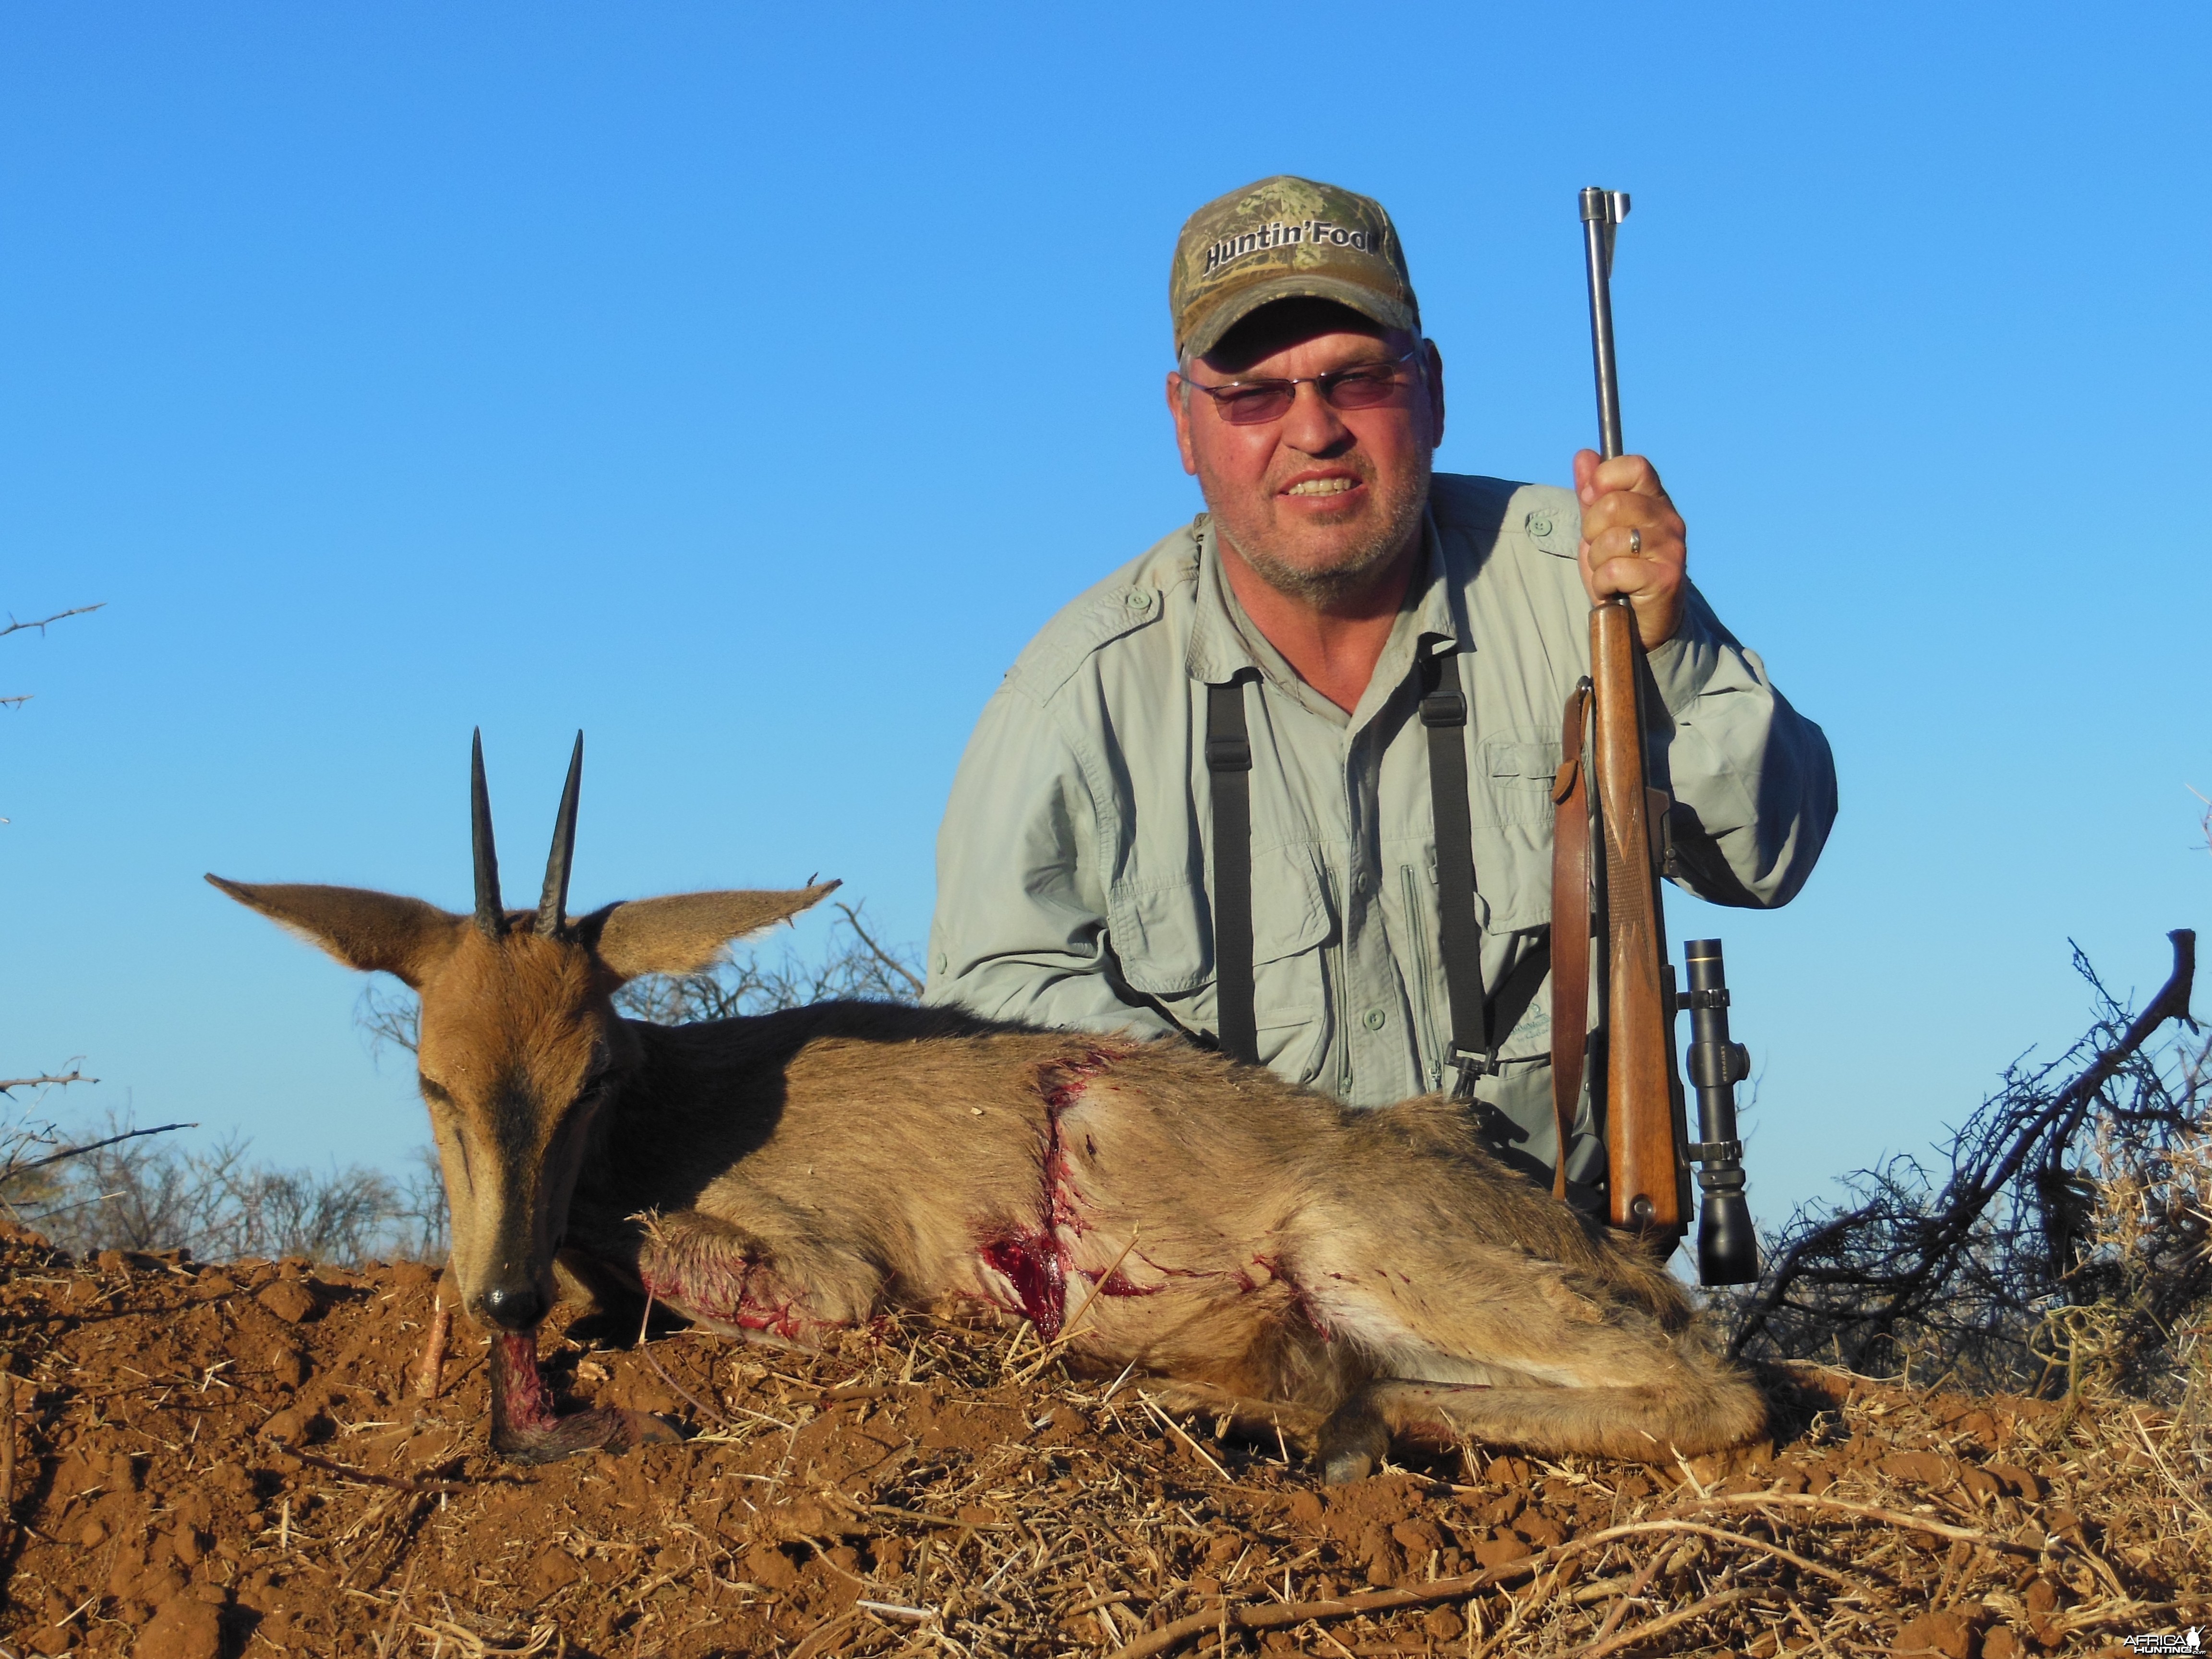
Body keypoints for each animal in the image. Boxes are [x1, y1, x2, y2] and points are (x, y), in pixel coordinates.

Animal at [208, 739, 1760, 1478]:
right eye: (433, 1078)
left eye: (593, 1071)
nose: (507, 1297)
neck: (673, 1102)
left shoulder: (827, 1274)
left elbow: (656, 1250)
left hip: (1365, 1246)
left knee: (1720, 1389)